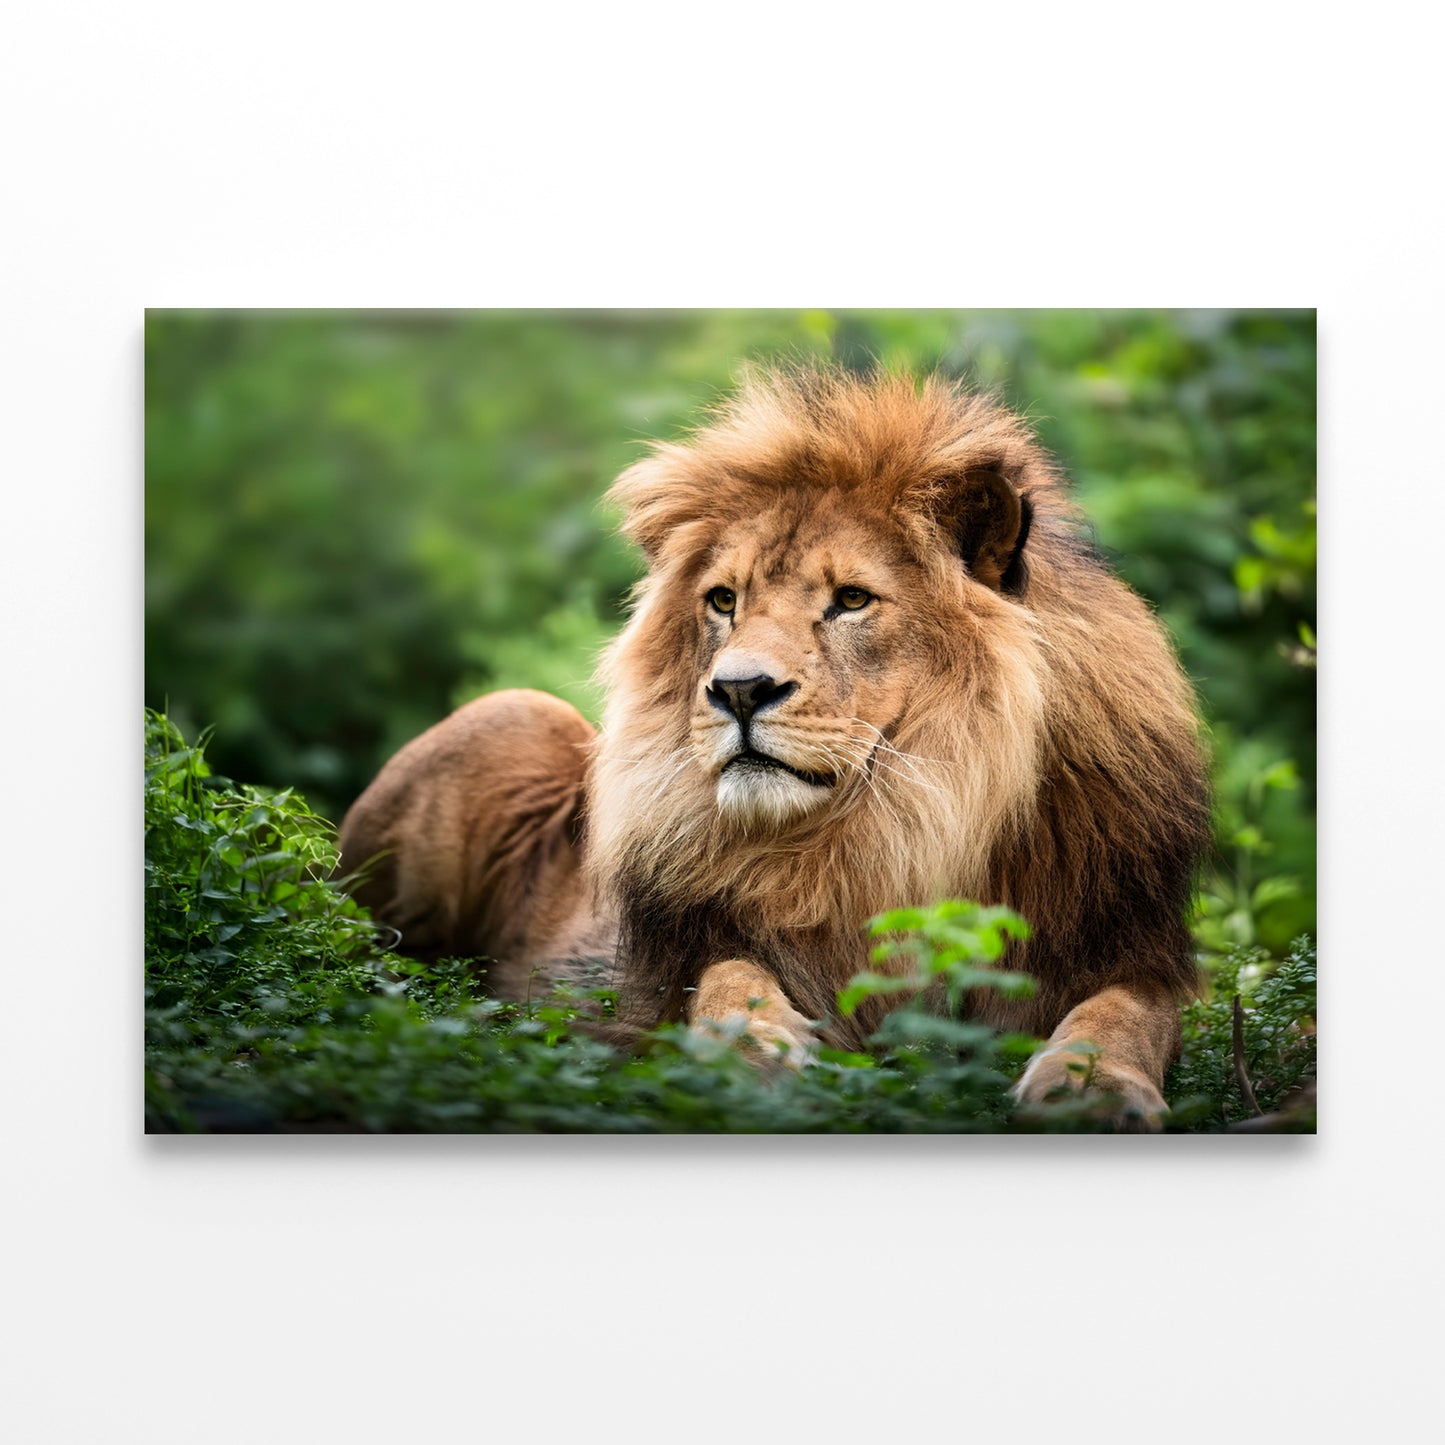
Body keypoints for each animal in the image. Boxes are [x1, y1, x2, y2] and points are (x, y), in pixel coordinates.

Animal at [338, 367, 1211, 1125]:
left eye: (852, 599)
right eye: (723, 600)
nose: (737, 690)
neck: (900, 823)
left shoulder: (1122, 946)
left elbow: (1121, 1017)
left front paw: (1092, 1091)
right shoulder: (681, 956)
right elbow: (728, 978)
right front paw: (749, 1051)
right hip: (511, 715)